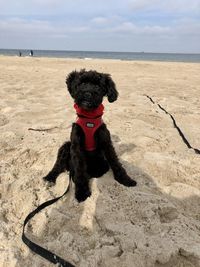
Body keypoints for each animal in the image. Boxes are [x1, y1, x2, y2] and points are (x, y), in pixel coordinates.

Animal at [43, 70, 138, 202]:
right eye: (82, 83)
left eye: (98, 86)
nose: (87, 94)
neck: (89, 119)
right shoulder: (76, 146)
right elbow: (79, 169)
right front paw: (82, 192)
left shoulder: (106, 143)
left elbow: (115, 162)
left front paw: (126, 180)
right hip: (67, 146)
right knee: (58, 165)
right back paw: (50, 177)